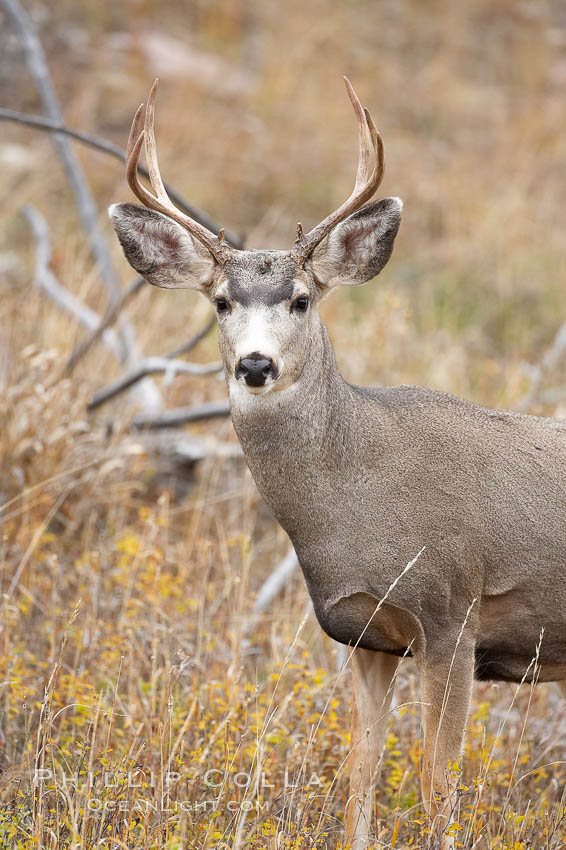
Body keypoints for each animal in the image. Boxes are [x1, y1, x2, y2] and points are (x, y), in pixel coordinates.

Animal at [110, 78, 566, 840]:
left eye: (300, 300)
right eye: (222, 301)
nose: (255, 365)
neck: (358, 495)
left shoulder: (453, 614)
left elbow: (439, 786)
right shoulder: (366, 637)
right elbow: (360, 778)